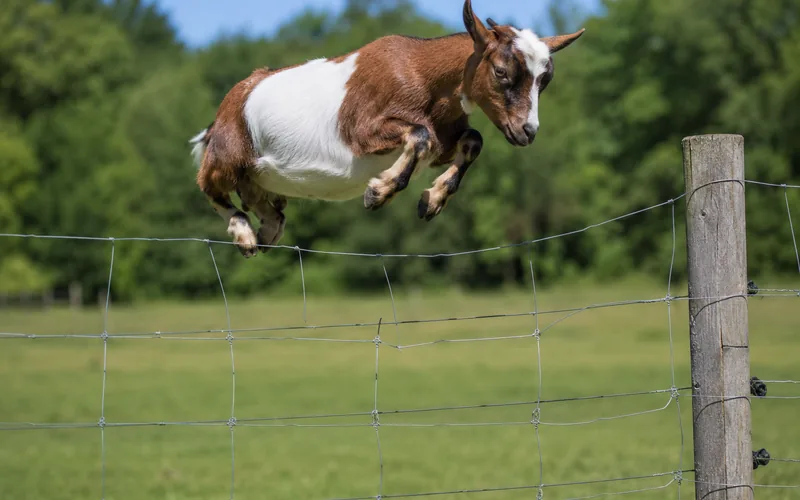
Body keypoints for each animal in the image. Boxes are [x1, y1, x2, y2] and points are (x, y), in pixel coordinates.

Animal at [189, 0, 584, 257]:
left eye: (545, 80)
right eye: (501, 71)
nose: (527, 130)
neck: (423, 77)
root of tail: (234, 97)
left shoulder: (446, 138)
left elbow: (472, 140)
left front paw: (432, 200)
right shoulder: (362, 129)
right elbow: (420, 136)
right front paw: (379, 192)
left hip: (258, 174)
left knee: (255, 194)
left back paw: (269, 227)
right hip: (229, 152)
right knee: (208, 183)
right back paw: (244, 234)